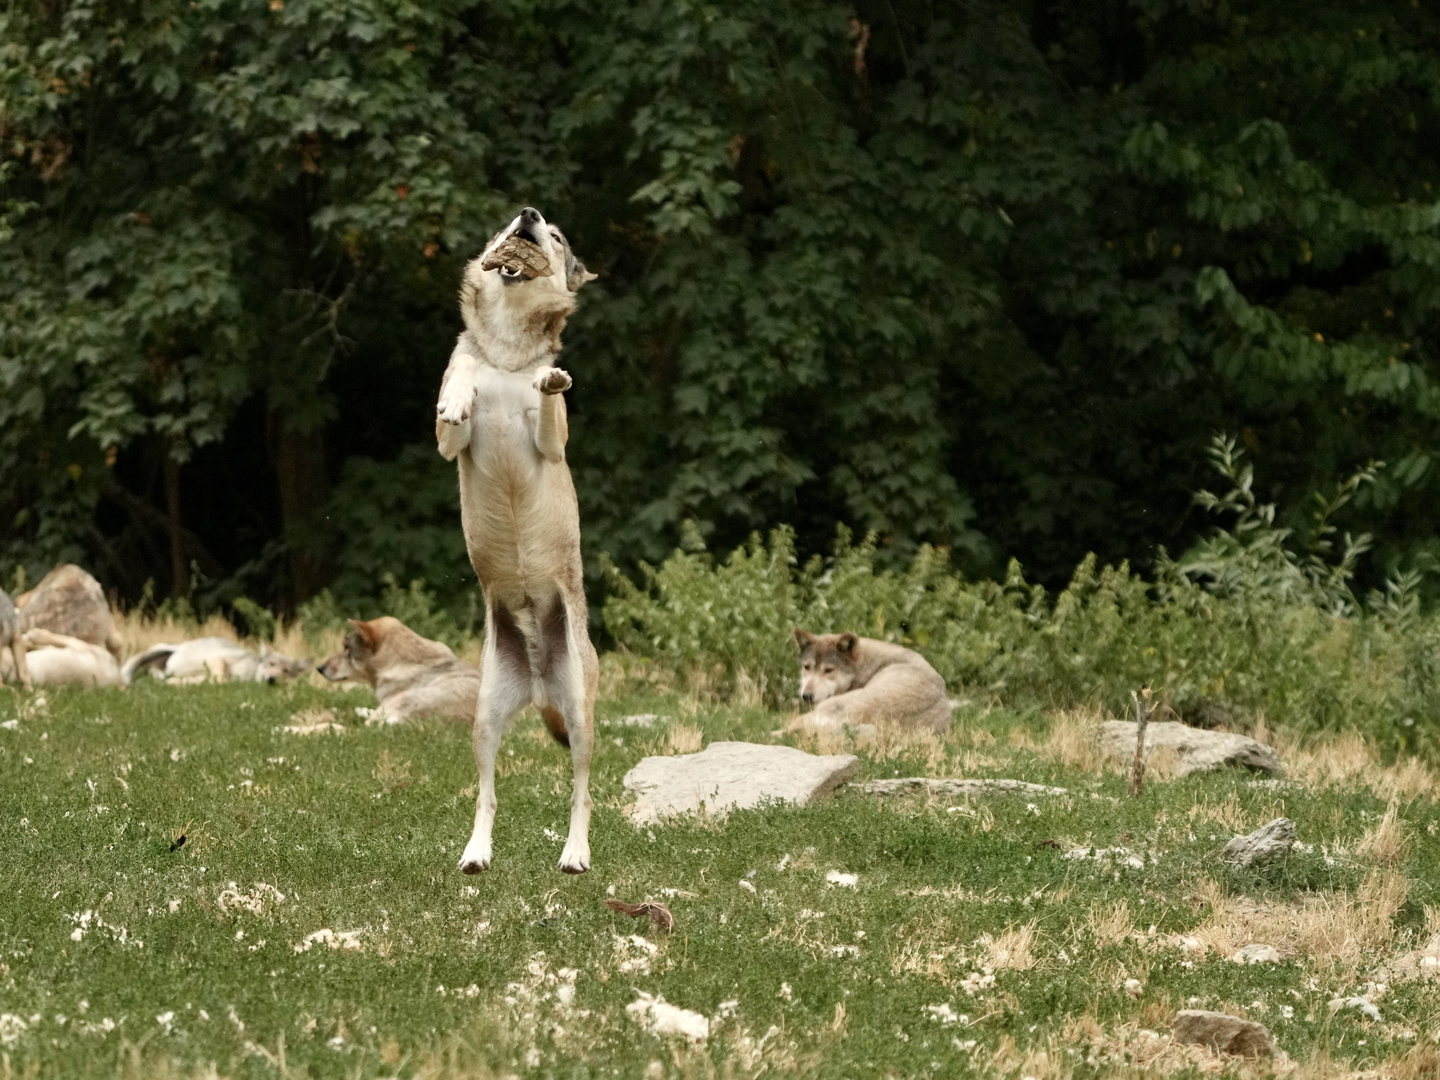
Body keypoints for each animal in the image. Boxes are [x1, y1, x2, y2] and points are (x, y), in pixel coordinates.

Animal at [120, 639, 309, 688]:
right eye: (271, 664)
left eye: (286, 671)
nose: (272, 679)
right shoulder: (215, 659)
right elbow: (220, 679)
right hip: (157, 649)